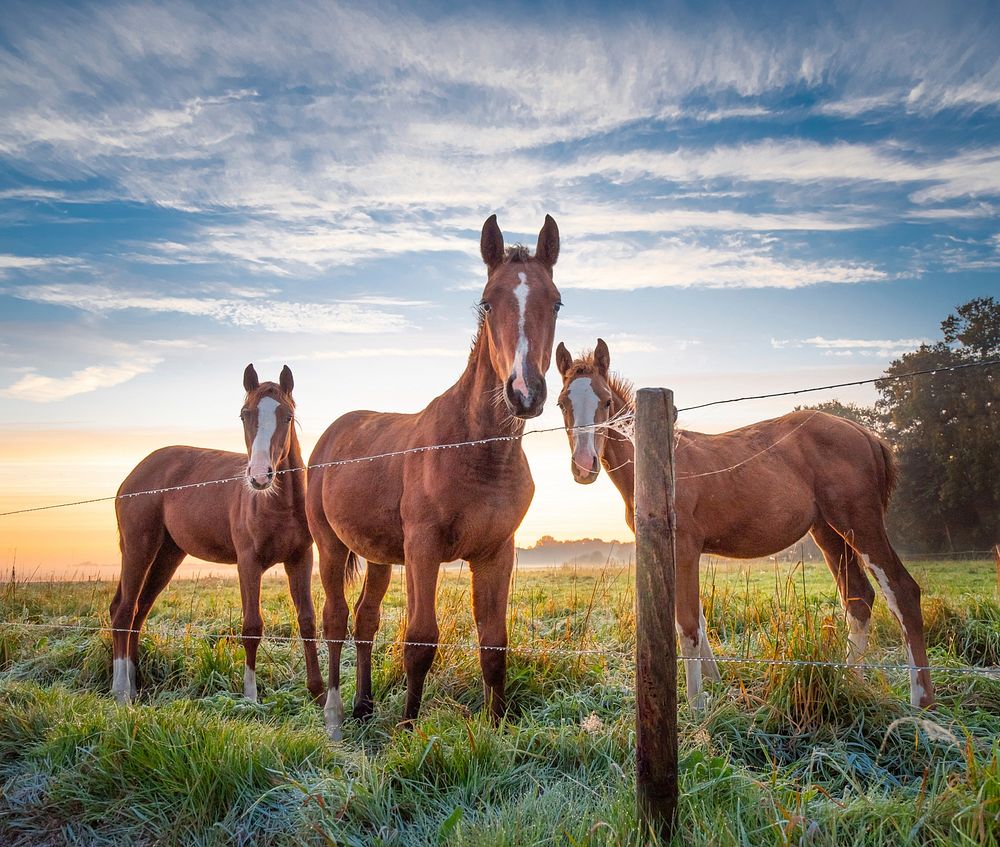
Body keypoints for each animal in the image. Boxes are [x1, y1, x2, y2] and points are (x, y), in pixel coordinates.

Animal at [110, 368, 322, 704]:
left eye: (287, 416)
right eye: (244, 414)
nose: (259, 476)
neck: (279, 504)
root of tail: (135, 474)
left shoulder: (300, 559)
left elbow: (307, 621)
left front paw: (318, 695)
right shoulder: (248, 563)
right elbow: (252, 626)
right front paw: (250, 698)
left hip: (166, 556)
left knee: (139, 611)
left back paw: (133, 686)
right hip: (138, 549)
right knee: (124, 611)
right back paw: (121, 691)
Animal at [306, 215, 564, 740]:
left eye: (556, 301)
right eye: (488, 301)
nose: (524, 392)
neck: (478, 453)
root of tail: (332, 433)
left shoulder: (496, 551)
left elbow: (494, 641)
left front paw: (496, 725)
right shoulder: (423, 549)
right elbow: (420, 640)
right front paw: (407, 729)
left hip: (379, 556)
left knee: (365, 620)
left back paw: (364, 706)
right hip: (331, 546)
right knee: (335, 620)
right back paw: (335, 711)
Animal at [552, 342, 932, 712]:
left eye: (606, 401)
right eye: (562, 403)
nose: (584, 466)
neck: (659, 463)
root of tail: (865, 434)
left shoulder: (685, 547)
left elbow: (687, 624)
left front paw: (696, 706)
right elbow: (700, 620)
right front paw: (716, 685)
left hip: (861, 523)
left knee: (901, 591)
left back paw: (921, 701)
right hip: (830, 533)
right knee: (859, 600)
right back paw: (851, 684)